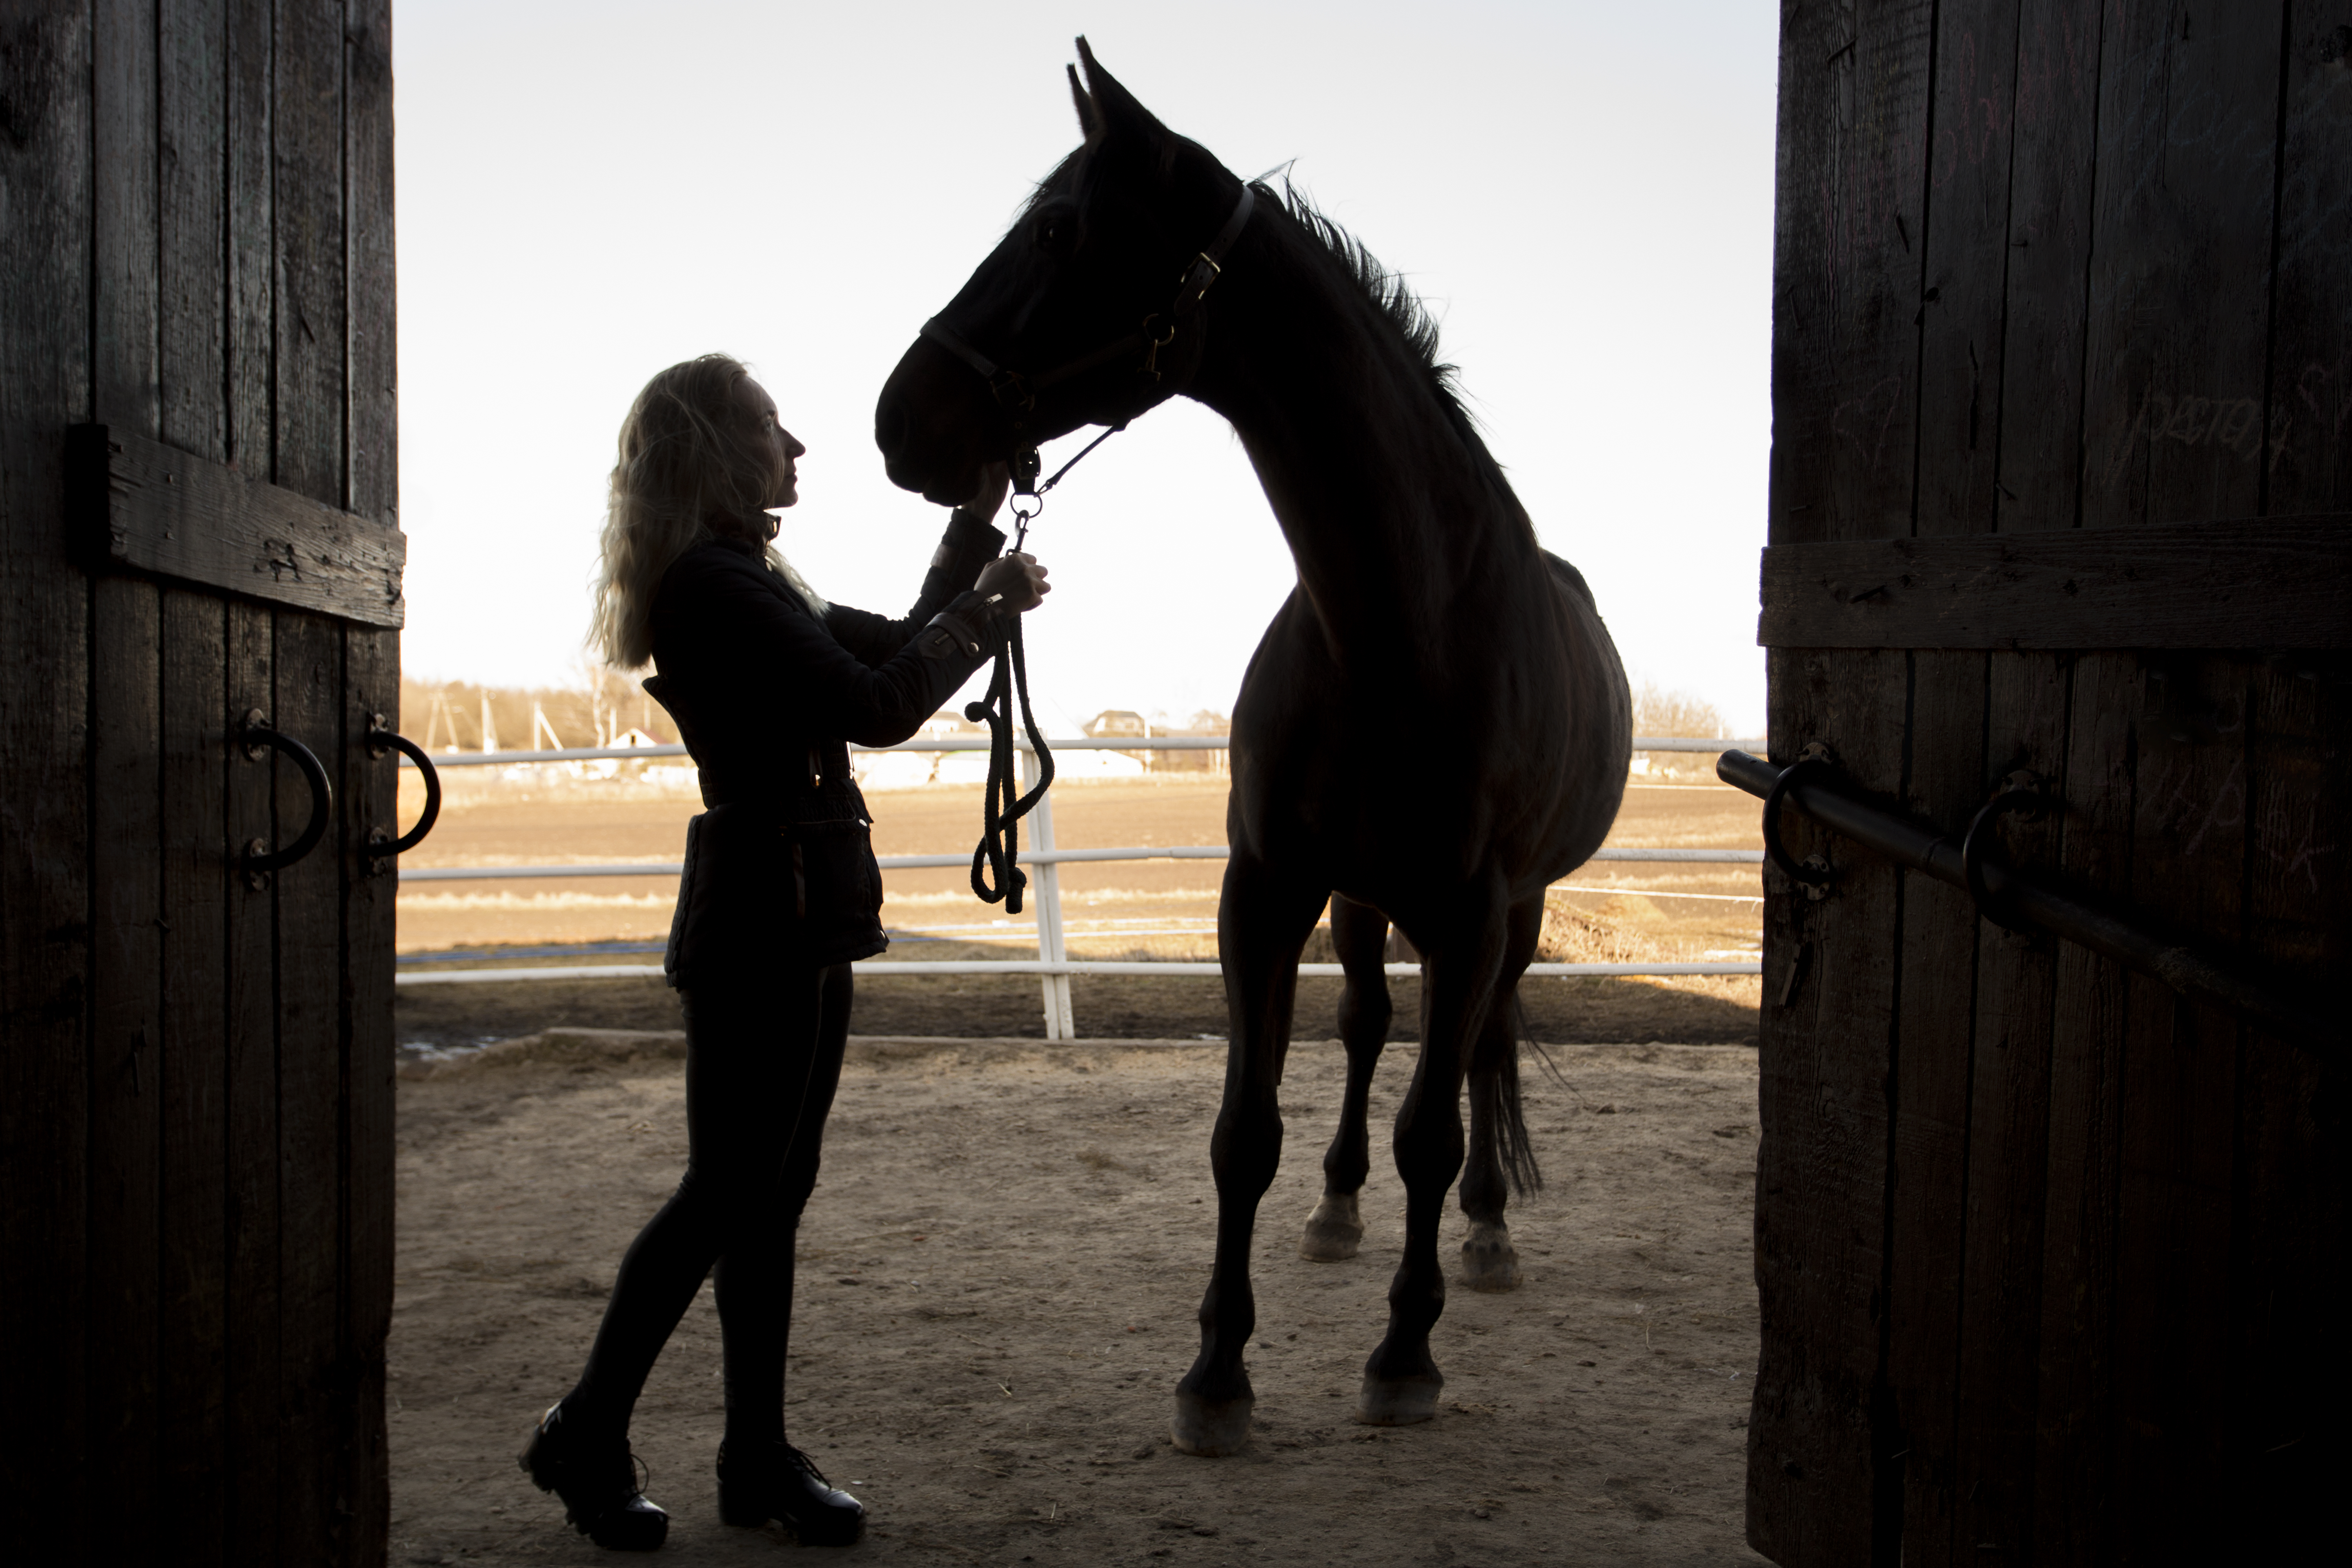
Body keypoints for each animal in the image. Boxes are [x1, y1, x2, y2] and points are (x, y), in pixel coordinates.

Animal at [874, 40, 1629, 1458]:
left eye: (1056, 231)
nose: (902, 416)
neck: (1397, 626)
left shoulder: (1473, 910)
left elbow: (1433, 1134)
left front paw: (1404, 1352)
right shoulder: (1266, 891)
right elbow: (1245, 1130)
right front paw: (1217, 1368)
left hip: (1507, 915)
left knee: (1475, 1052)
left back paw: (1487, 1231)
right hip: (1360, 898)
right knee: (1368, 1028)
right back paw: (1336, 1209)